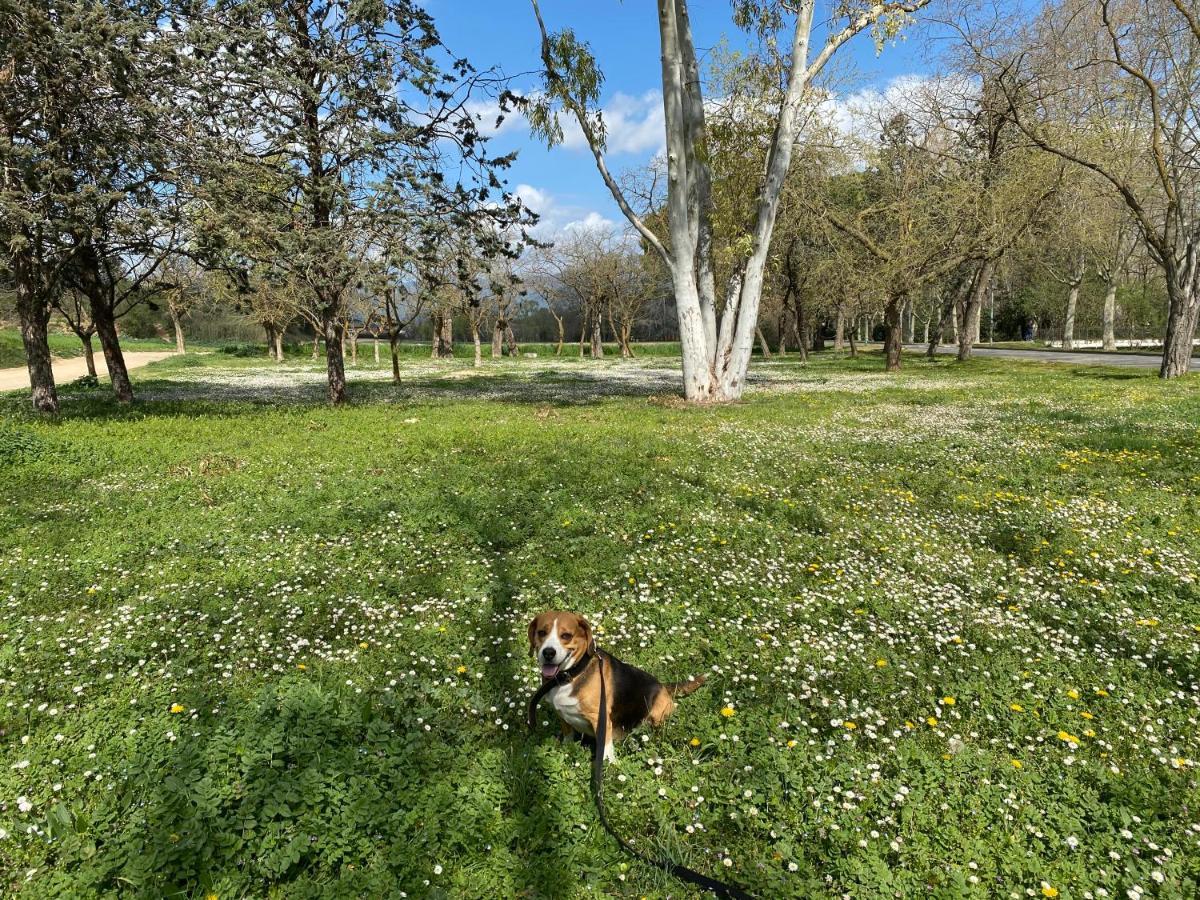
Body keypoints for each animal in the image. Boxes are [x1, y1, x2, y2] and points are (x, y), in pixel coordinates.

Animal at [525, 609, 700, 763]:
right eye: (541, 632)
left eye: (566, 636)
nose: (548, 653)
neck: (572, 674)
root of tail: (662, 686)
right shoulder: (562, 715)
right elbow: (568, 735)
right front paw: (566, 750)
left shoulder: (600, 719)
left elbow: (605, 749)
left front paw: (610, 766)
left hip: (657, 715)